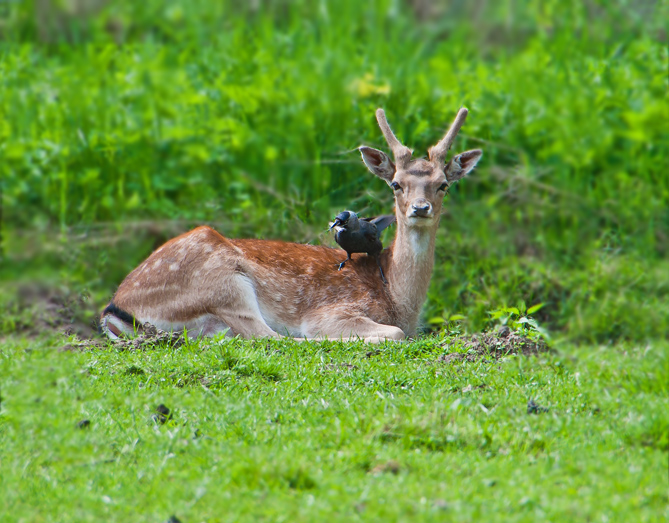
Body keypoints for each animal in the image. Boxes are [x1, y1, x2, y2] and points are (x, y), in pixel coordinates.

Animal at [100, 108, 480, 342]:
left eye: (443, 184)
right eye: (396, 184)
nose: (420, 208)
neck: (400, 302)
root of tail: (116, 308)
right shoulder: (332, 310)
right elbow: (395, 334)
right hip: (222, 283)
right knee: (268, 337)